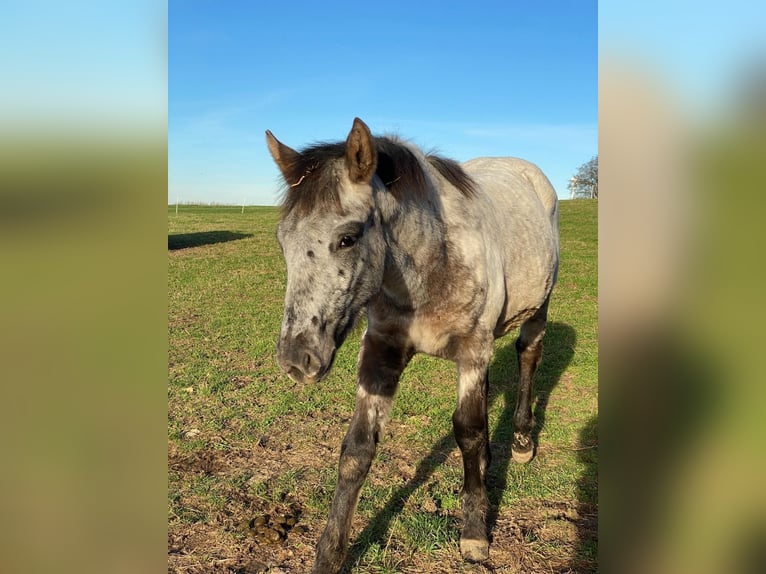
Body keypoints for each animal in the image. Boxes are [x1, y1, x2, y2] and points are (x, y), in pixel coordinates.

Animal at [266, 118, 559, 573]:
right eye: (283, 241)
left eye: (347, 238)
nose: (296, 359)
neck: (432, 263)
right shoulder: (381, 352)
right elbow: (357, 448)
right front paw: (329, 554)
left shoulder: (472, 350)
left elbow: (467, 431)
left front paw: (474, 532)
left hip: (537, 309)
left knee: (528, 356)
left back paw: (523, 442)